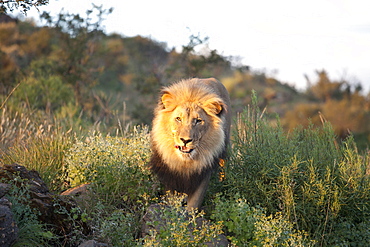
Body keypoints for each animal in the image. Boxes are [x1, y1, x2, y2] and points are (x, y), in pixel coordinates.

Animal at [148, 77, 230, 208]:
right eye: (178, 119)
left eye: (198, 121)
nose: (185, 140)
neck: (185, 162)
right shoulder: (170, 172)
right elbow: (171, 196)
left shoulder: (203, 171)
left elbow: (194, 203)